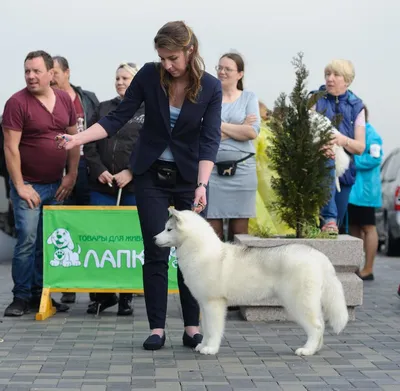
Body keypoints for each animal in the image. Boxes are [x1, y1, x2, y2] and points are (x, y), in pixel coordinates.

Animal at [155, 208, 348, 358]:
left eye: (169, 229)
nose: (153, 238)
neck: (200, 251)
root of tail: (317, 255)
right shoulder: (204, 303)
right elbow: (206, 328)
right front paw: (203, 345)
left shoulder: (214, 303)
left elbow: (214, 329)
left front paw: (211, 348)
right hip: (308, 301)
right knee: (321, 324)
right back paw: (315, 349)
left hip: (298, 303)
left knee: (316, 326)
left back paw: (307, 350)